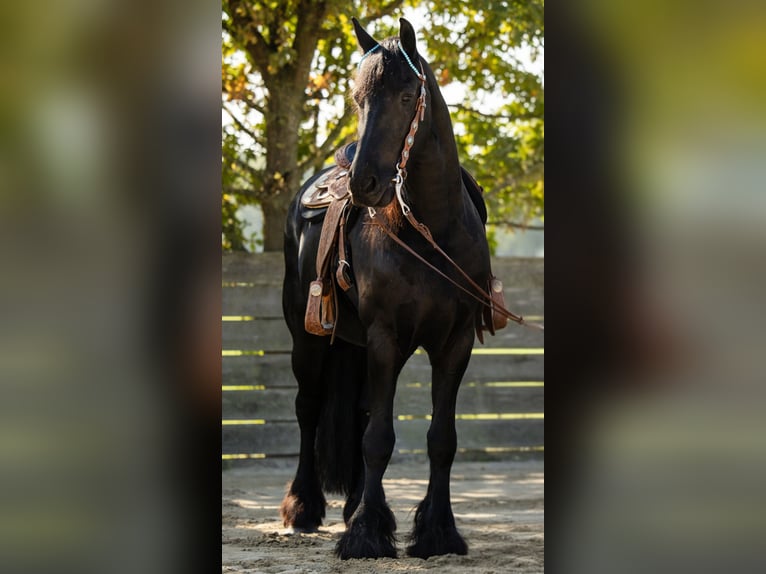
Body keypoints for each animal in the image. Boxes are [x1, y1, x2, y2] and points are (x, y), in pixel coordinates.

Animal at [279, 17, 500, 560]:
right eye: (358, 99)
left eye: (405, 96)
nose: (366, 183)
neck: (433, 233)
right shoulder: (384, 337)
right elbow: (379, 438)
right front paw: (365, 535)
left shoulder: (454, 343)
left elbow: (441, 439)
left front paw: (436, 532)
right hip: (308, 339)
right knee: (309, 410)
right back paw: (305, 508)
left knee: (358, 413)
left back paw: (353, 505)